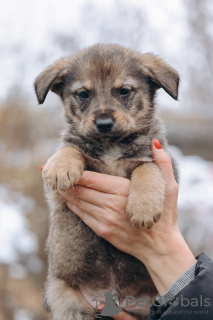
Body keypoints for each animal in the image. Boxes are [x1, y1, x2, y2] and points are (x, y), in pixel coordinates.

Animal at [34, 43, 178, 320]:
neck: (111, 145)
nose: (103, 123)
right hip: (65, 301)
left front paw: (143, 209)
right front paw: (61, 167)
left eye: (124, 91)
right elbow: (71, 149)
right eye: (83, 94)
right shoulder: (58, 196)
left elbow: (147, 169)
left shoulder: (165, 162)